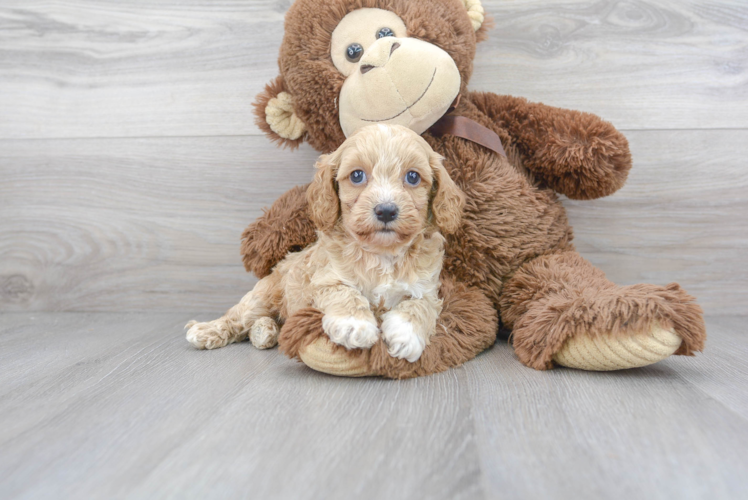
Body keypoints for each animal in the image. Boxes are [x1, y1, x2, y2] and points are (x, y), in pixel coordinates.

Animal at [186, 123, 462, 362]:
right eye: (357, 175)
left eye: (413, 177)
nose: (385, 210)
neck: (381, 253)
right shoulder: (325, 280)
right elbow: (345, 293)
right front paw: (354, 324)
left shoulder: (426, 289)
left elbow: (420, 306)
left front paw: (406, 334)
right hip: (263, 296)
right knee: (238, 316)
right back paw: (205, 330)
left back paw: (264, 331)